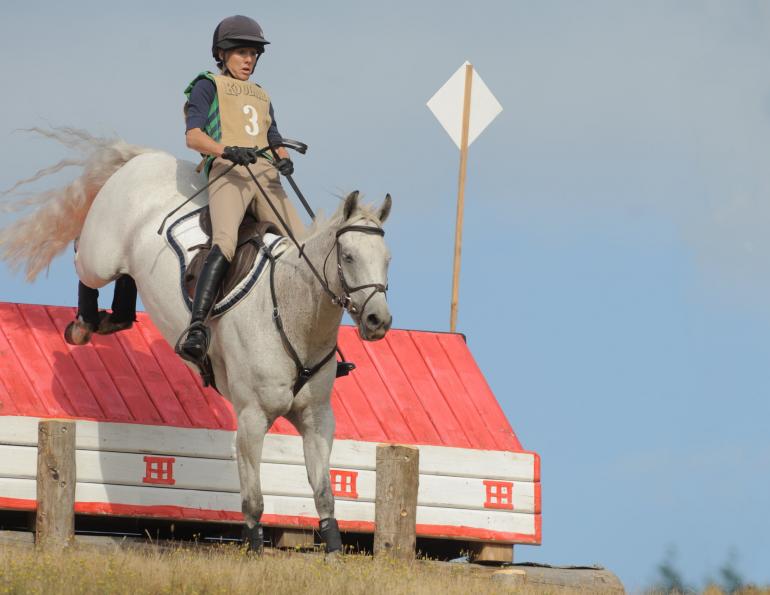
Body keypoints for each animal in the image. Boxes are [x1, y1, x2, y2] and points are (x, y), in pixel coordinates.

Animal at [0, 128, 393, 555]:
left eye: (387, 259)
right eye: (349, 256)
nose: (379, 321)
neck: (292, 313)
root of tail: (142, 159)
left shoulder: (317, 419)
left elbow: (324, 492)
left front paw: (334, 549)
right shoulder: (252, 416)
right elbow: (253, 499)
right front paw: (254, 549)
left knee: (127, 278)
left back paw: (113, 319)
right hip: (99, 255)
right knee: (81, 257)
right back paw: (84, 324)